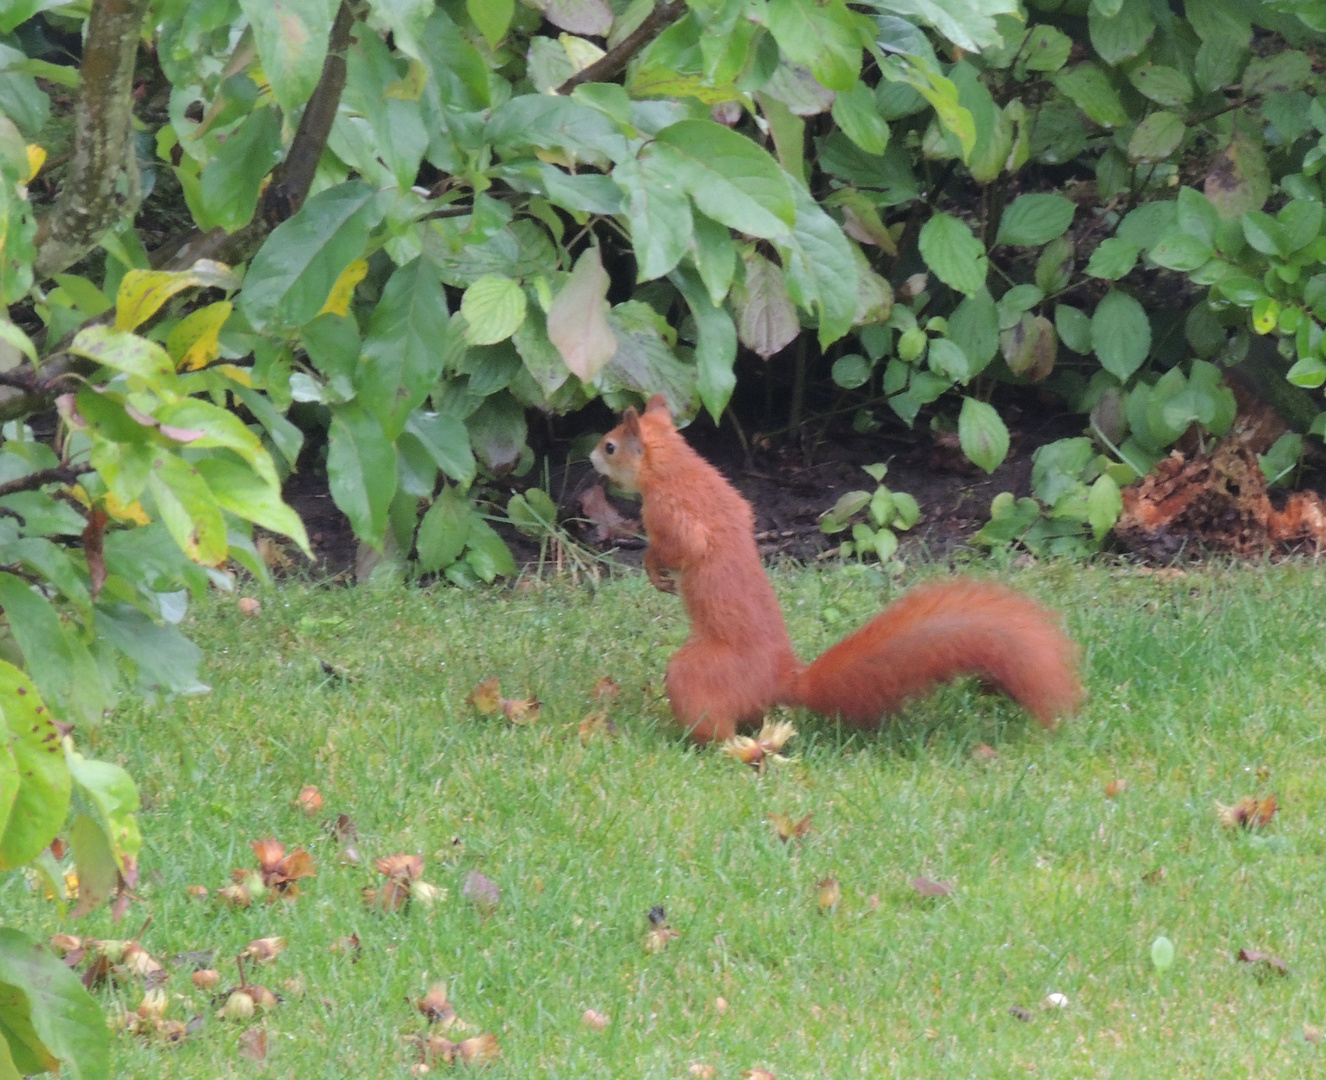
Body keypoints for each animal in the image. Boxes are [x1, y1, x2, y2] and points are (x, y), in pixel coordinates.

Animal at [594, 395, 1087, 742]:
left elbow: (680, 548)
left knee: (718, 726)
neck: (673, 466)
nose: (592, 459)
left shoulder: (673, 514)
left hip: (697, 672)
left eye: (611, 445)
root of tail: (782, 681)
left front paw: (653, 567)